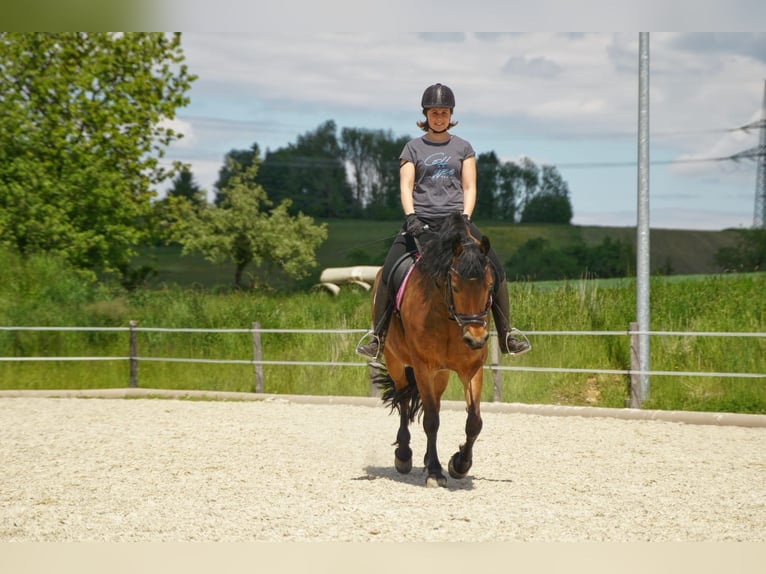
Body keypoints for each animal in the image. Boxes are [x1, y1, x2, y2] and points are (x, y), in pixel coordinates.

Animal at [374, 214, 496, 488]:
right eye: (455, 286)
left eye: (490, 284)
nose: (475, 339)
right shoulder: (422, 367)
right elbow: (430, 421)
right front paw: (435, 473)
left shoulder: (472, 369)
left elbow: (474, 421)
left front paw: (459, 464)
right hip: (395, 361)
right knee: (405, 399)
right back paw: (404, 456)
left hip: (441, 374)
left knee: (435, 404)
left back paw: (430, 458)